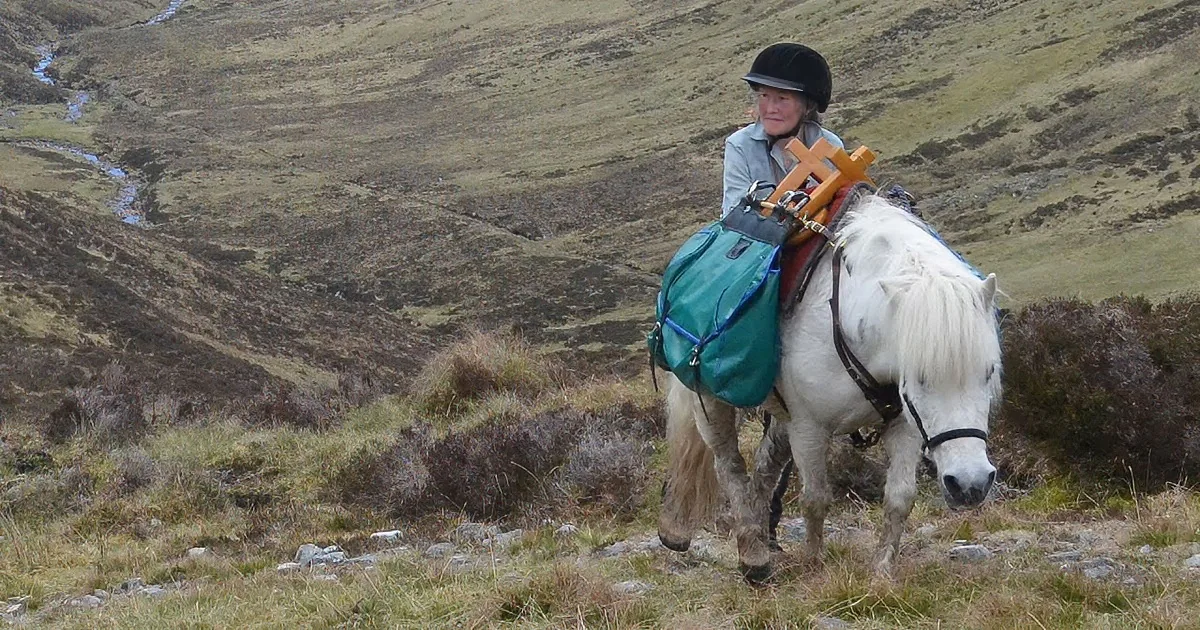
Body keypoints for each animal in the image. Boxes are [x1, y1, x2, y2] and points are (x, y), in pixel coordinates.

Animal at [657, 192, 1003, 581]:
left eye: (988, 371)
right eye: (921, 377)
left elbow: (899, 498)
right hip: (711, 400)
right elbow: (815, 498)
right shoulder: (809, 427)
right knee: (727, 465)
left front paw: (882, 572)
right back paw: (750, 554)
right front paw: (813, 564)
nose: (971, 484)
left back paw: (759, 537)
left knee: (764, 467)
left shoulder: (906, 425)